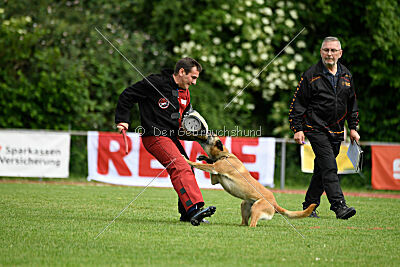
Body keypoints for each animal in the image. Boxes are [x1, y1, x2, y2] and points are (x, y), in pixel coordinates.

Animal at [186, 136, 318, 228]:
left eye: (210, 136)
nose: (203, 133)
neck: (226, 156)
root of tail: (274, 204)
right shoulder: (215, 177)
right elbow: (209, 163)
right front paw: (204, 157)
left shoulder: (215, 168)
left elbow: (201, 164)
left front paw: (187, 160)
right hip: (245, 204)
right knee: (245, 222)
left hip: (256, 207)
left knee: (252, 225)